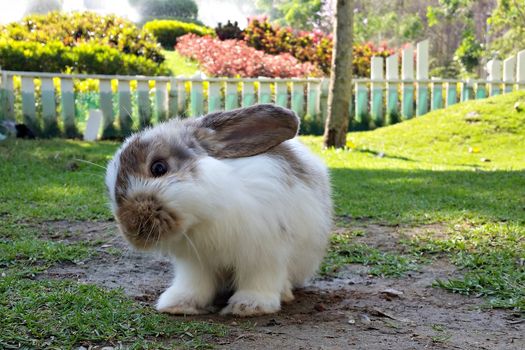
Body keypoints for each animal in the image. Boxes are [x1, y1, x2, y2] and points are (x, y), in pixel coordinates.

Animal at [104, 104, 330, 318]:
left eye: (158, 168)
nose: (130, 228)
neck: (205, 217)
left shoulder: (264, 253)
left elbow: (259, 280)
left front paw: (249, 306)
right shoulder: (195, 263)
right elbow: (195, 284)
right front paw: (178, 304)